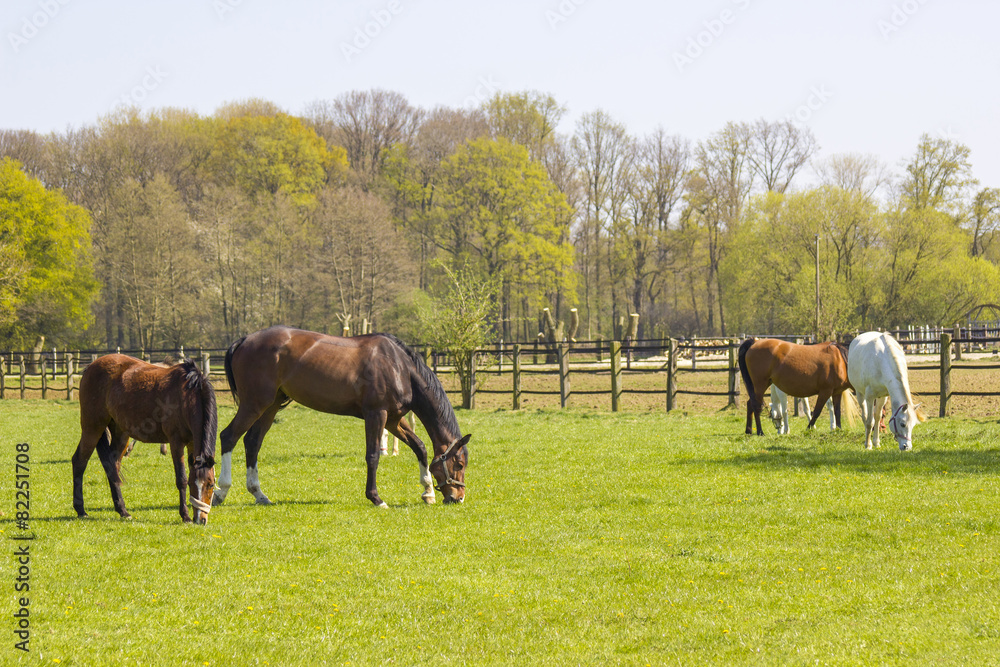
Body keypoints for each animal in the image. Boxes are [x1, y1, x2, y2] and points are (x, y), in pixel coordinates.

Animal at [72, 355, 217, 524]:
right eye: (194, 484)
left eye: (211, 485)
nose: (201, 519)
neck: (187, 397)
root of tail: (91, 366)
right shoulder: (176, 442)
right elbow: (181, 479)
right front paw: (185, 515)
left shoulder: (192, 443)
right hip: (93, 427)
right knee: (79, 461)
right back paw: (80, 509)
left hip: (121, 434)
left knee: (112, 467)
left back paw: (122, 510)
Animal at [210, 326, 470, 508]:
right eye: (459, 464)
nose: (458, 497)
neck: (399, 367)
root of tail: (244, 340)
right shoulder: (376, 415)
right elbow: (373, 456)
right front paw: (376, 498)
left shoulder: (393, 420)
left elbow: (420, 447)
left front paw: (427, 491)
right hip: (254, 404)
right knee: (228, 437)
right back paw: (220, 491)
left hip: (270, 405)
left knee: (252, 442)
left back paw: (259, 494)